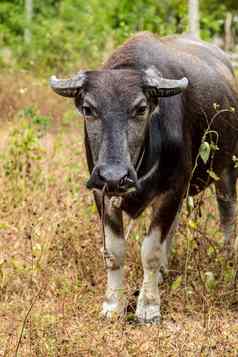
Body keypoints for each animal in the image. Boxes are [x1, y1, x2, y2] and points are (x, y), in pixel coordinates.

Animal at [49, 32, 238, 322]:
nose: (114, 176)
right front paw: (112, 305)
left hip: (227, 170)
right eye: (89, 108)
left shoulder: (172, 189)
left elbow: (150, 250)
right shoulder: (102, 193)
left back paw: (226, 259)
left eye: (140, 108)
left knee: (227, 215)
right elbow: (114, 250)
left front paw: (148, 307)